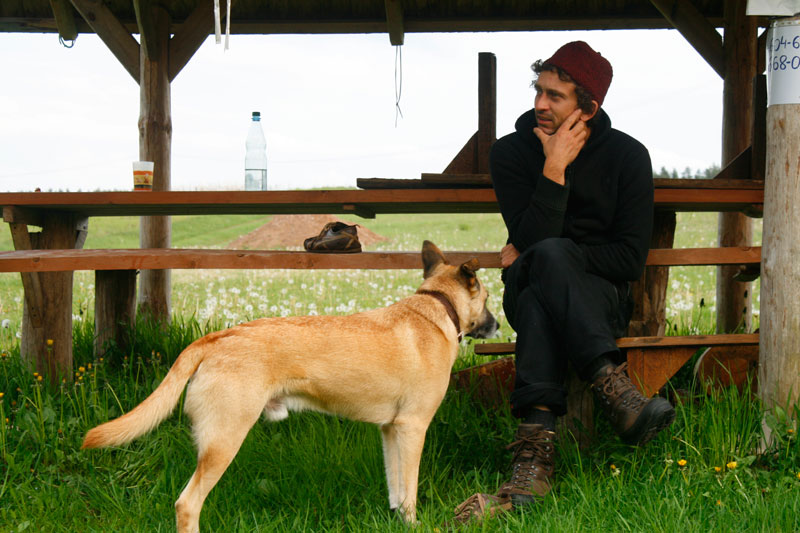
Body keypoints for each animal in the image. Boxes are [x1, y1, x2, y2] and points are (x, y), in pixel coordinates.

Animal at [81, 242, 494, 532]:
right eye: (488, 298)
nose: (496, 325)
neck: (437, 309)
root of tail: (216, 338)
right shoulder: (412, 428)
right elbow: (409, 493)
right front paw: (413, 525)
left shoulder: (391, 430)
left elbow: (395, 489)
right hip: (224, 441)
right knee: (187, 505)